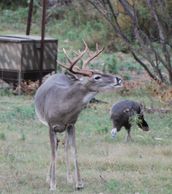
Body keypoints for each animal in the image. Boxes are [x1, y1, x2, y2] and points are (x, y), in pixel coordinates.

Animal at [34, 41, 122, 190]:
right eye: (96, 77)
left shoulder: (71, 124)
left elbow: (74, 150)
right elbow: (53, 153)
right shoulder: (51, 126)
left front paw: (79, 183)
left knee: (64, 146)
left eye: (101, 71)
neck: (63, 107)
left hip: (65, 128)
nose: (119, 78)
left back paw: (69, 178)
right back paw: (49, 178)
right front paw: (53, 185)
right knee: (56, 146)